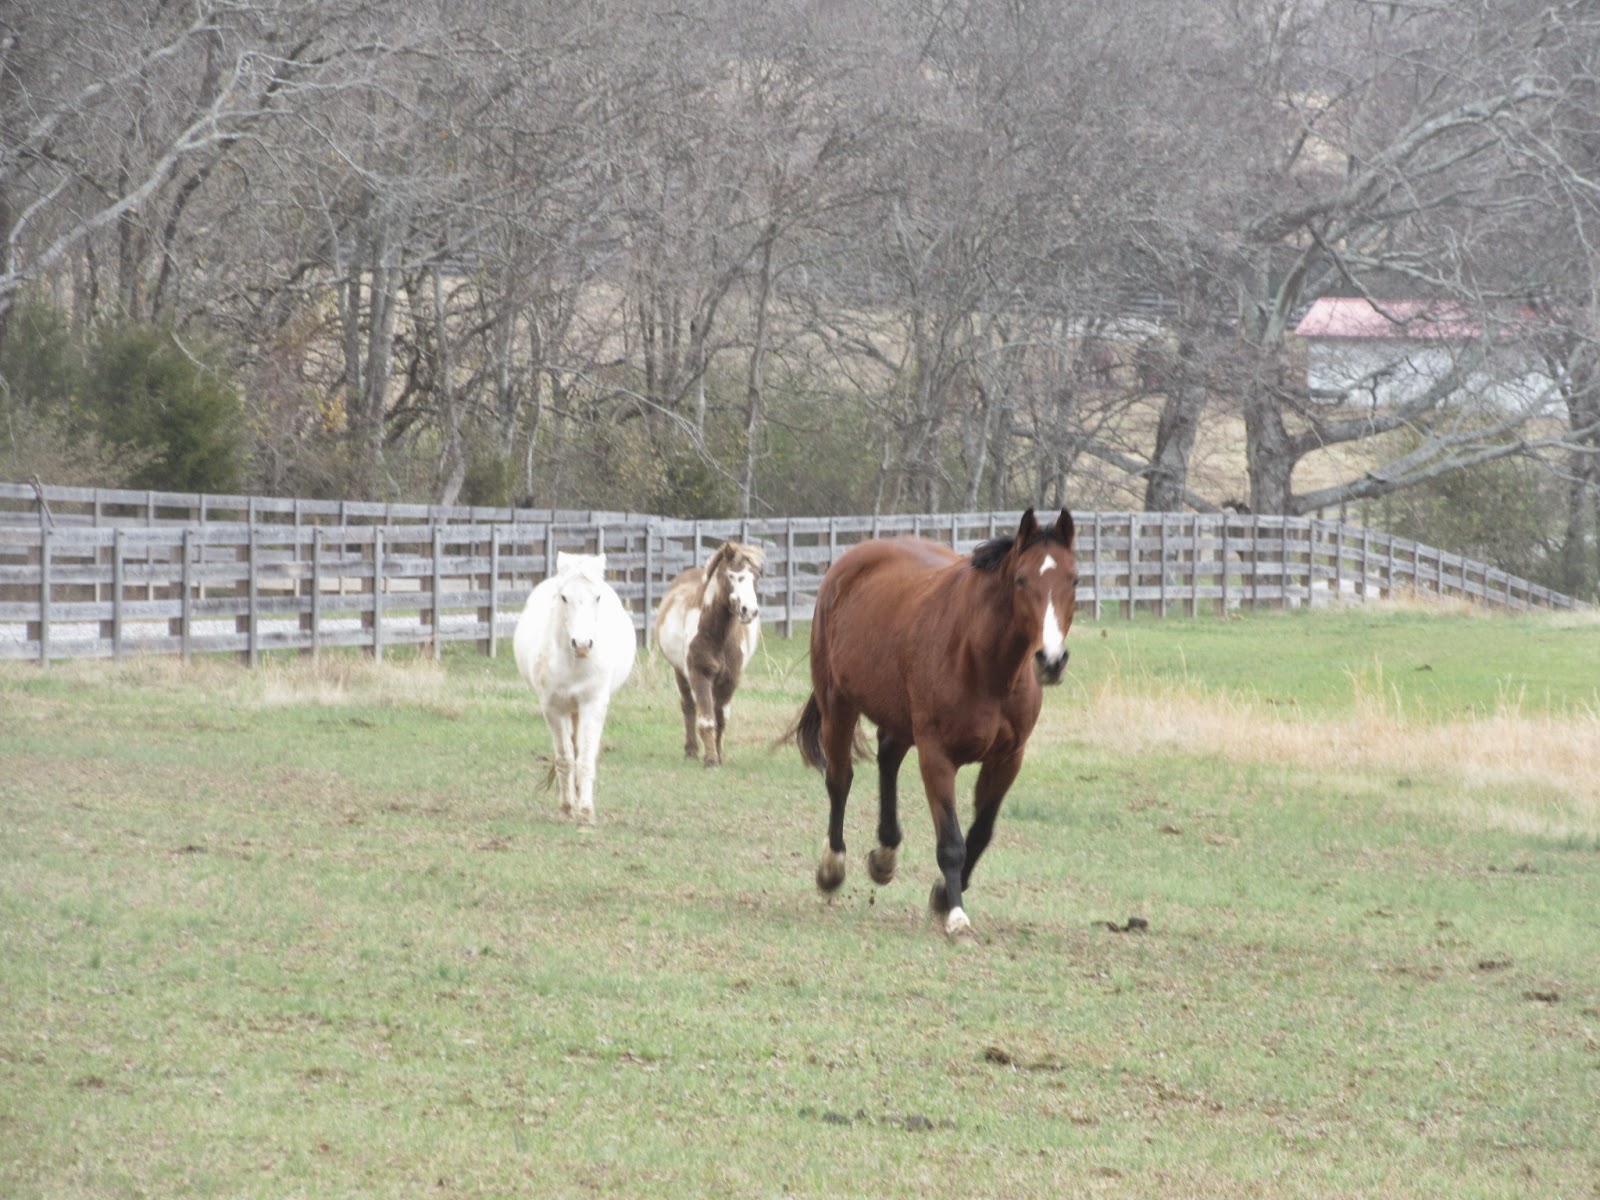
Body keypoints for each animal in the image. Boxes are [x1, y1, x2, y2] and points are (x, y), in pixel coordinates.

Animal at [512, 551, 637, 826]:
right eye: (564, 597)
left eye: (597, 597)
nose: (582, 644)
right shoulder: (553, 708)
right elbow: (565, 759)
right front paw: (567, 807)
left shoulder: (594, 705)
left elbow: (585, 758)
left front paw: (586, 811)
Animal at [653, 540, 765, 767]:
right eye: (732, 575)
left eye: (756, 577)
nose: (749, 611)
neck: (717, 636)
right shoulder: (699, 674)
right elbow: (706, 719)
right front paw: (711, 759)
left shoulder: (730, 680)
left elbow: (720, 718)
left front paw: (718, 755)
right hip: (680, 672)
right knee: (688, 706)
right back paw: (691, 750)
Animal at [792, 508, 1077, 940]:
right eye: (1021, 580)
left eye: (1074, 579)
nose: (1051, 660)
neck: (983, 662)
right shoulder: (937, 757)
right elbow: (952, 842)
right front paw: (956, 914)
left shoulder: (1008, 759)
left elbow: (980, 833)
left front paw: (943, 896)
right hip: (837, 705)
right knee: (840, 779)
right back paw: (832, 868)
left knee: (888, 758)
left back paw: (885, 854)